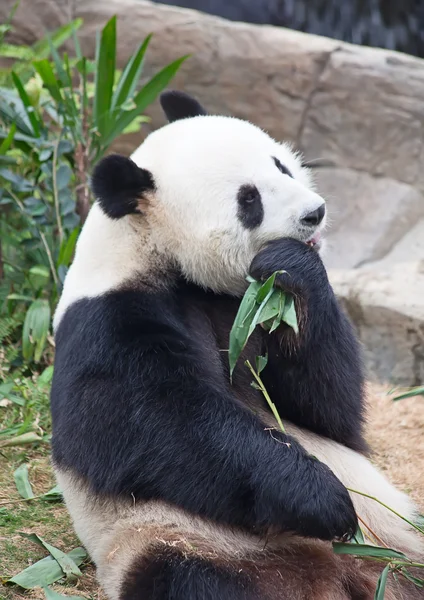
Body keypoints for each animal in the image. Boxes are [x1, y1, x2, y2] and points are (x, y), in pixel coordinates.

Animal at [48, 90, 420, 600]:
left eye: (281, 166)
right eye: (249, 200)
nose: (315, 213)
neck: (152, 250)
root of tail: (346, 574)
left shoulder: (246, 309)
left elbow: (333, 414)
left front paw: (293, 266)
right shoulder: (106, 323)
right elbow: (157, 423)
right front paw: (325, 500)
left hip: (401, 535)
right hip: (185, 544)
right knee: (191, 580)